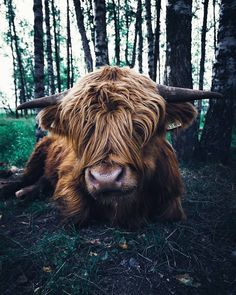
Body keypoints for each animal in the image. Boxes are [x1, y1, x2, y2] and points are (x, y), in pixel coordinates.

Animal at [15, 67, 222, 229]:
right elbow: (75, 212)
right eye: (81, 127)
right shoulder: (68, 175)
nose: (106, 179)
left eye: (140, 127)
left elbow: (171, 214)